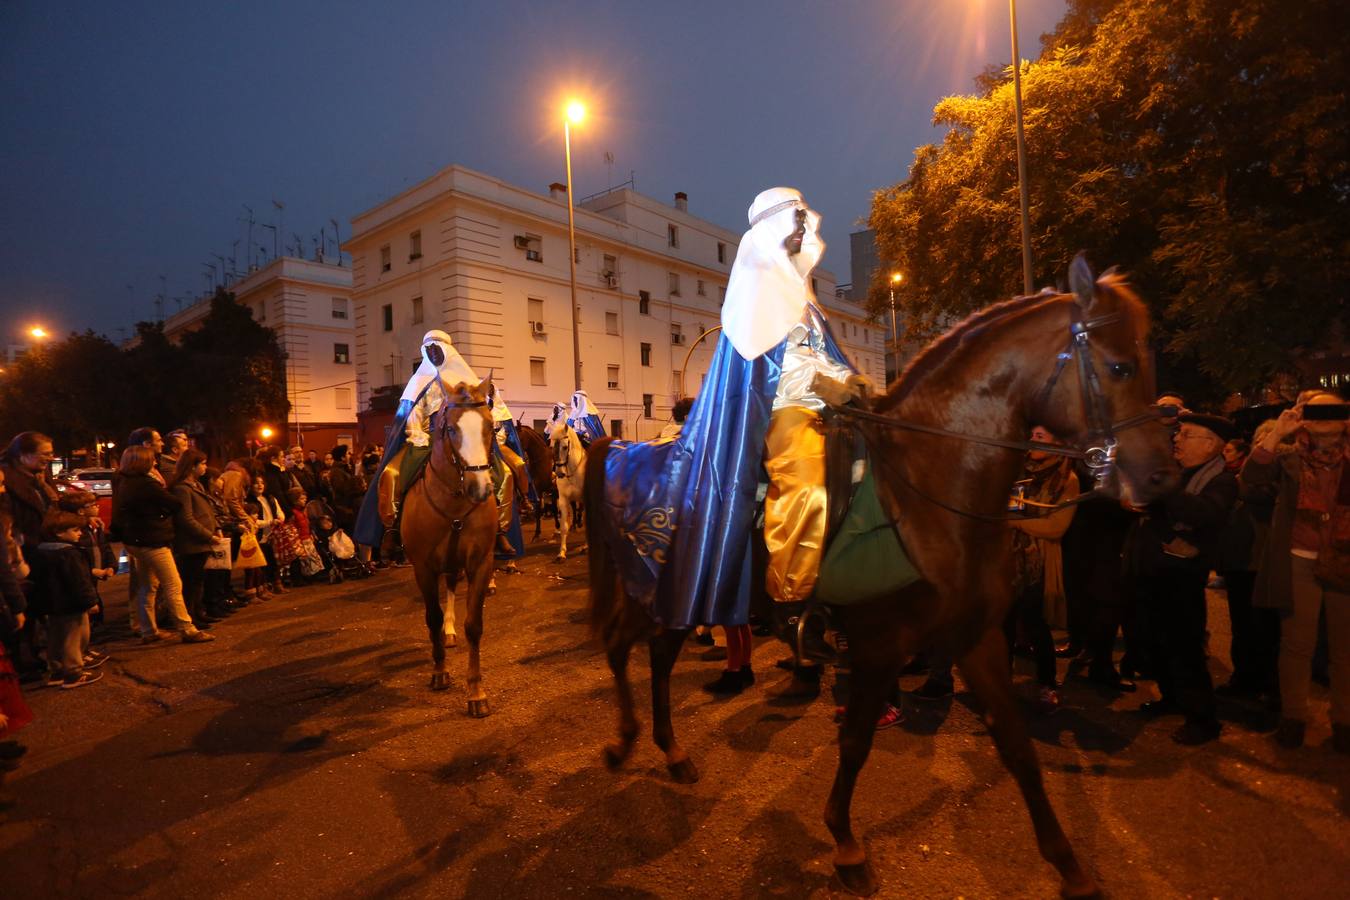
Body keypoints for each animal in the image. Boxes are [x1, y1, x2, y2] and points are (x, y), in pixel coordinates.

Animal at [402, 377, 504, 717]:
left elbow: (474, 625)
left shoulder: (480, 563)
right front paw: (440, 672)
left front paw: (476, 692)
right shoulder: (423, 568)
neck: (455, 506)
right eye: (450, 429)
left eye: (490, 426)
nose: (481, 489)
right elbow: (431, 617)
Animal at [548, 420, 585, 558]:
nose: (559, 473)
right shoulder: (563, 500)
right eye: (551, 446)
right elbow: (564, 526)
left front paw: (585, 547)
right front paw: (562, 553)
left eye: (564, 447)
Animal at [585, 256, 1177, 895]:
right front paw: (846, 845)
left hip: (685, 597)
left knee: (657, 659)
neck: (927, 491)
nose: (1160, 477)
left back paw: (671, 753)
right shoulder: (878, 644)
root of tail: (625, 452)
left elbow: (1017, 745)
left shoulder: (976, 638)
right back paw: (623, 744)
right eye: (1120, 366)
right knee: (621, 647)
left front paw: (1069, 865)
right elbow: (856, 742)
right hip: (659, 591)